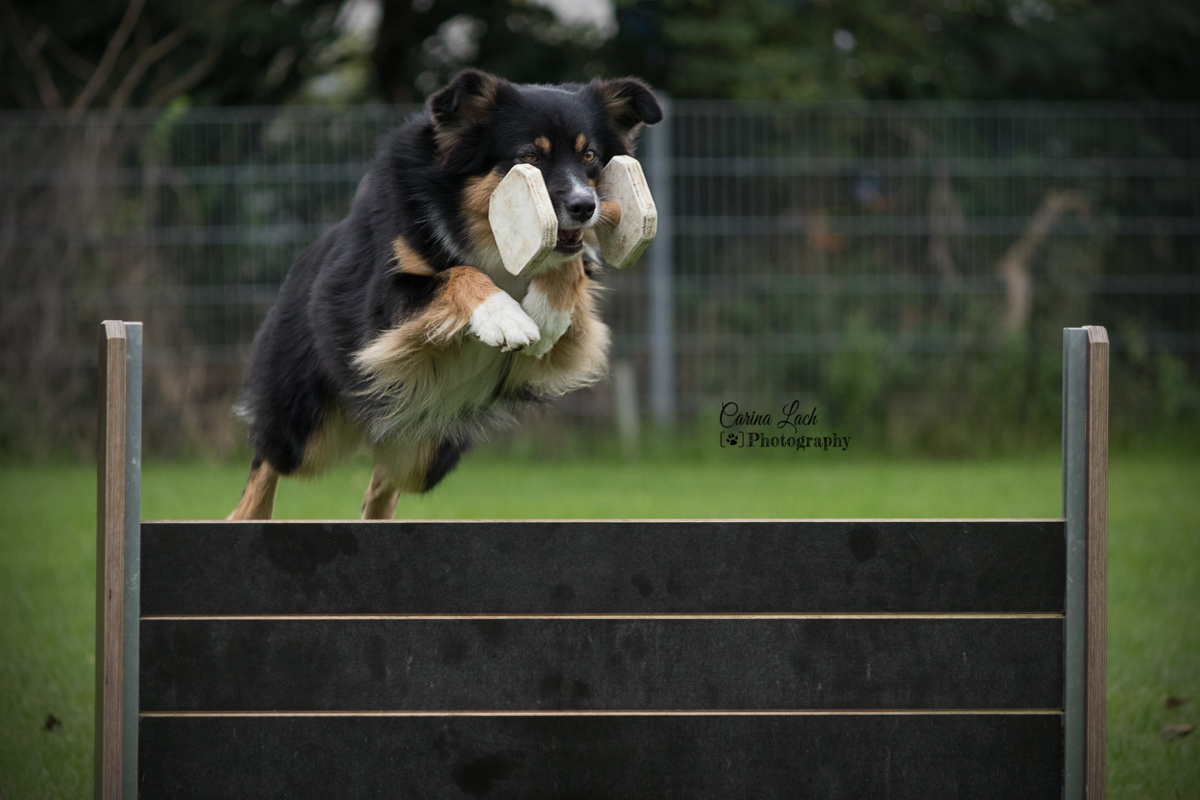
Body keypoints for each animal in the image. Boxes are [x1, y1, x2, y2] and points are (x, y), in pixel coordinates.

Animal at [229, 69, 663, 520]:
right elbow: (458, 272)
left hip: (425, 450)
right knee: (270, 460)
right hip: (306, 425)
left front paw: (546, 316)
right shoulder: (380, 305)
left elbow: (569, 261)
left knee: (385, 481)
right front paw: (505, 317)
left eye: (590, 155)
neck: (484, 232)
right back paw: (245, 516)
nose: (584, 206)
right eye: (530, 156)